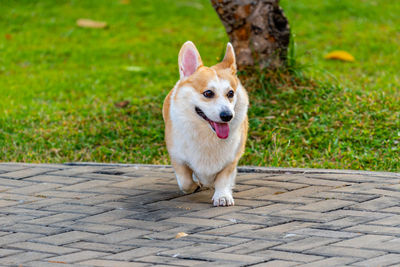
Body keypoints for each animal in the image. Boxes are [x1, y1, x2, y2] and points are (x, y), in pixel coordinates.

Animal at [162, 41, 247, 207]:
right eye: (208, 93)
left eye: (231, 93)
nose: (227, 116)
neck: (207, 134)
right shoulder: (177, 157)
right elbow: (185, 182)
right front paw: (196, 185)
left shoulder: (232, 158)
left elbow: (224, 178)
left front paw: (222, 196)